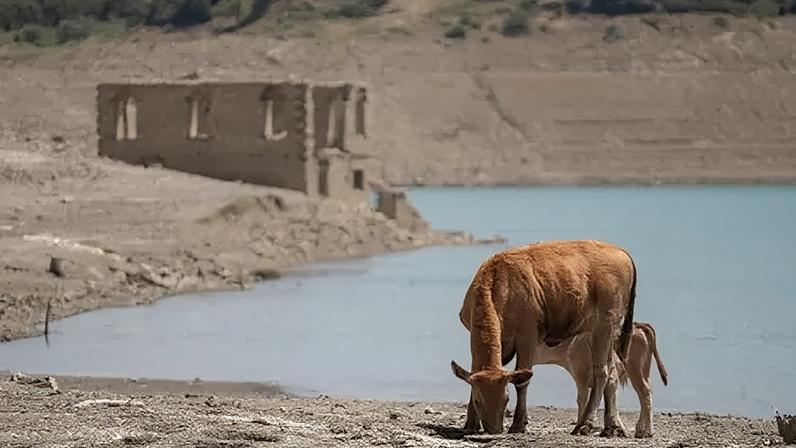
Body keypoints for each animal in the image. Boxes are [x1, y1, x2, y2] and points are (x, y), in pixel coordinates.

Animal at [450, 240, 637, 435]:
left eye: (506, 399)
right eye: (478, 400)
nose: (494, 429)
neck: (499, 284)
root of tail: (621, 252)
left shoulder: (527, 338)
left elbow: (522, 380)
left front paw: (518, 424)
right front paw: (470, 423)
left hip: (605, 326)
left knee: (602, 372)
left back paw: (584, 424)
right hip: (602, 334)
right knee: (612, 374)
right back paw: (612, 427)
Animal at [534, 321, 669, 438]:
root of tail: (639, 325)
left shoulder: (581, 372)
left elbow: (583, 398)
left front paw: (582, 425)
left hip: (636, 369)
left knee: (644, 392)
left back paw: (645, 431)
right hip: (643, 370)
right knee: (646, 391)